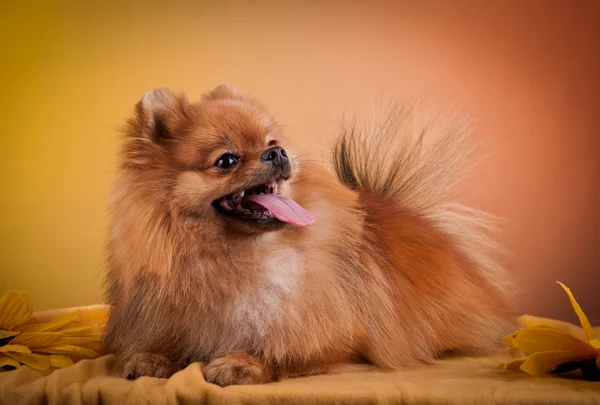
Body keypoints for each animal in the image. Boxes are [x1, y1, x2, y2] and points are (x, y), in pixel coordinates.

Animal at [104, 83, 516, 384]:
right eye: (227, 160)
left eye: (271, 143)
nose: (278, 154)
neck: (232, 257)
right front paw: (152, 356)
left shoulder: (345, 339)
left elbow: (293, 348)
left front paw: (243, 362)